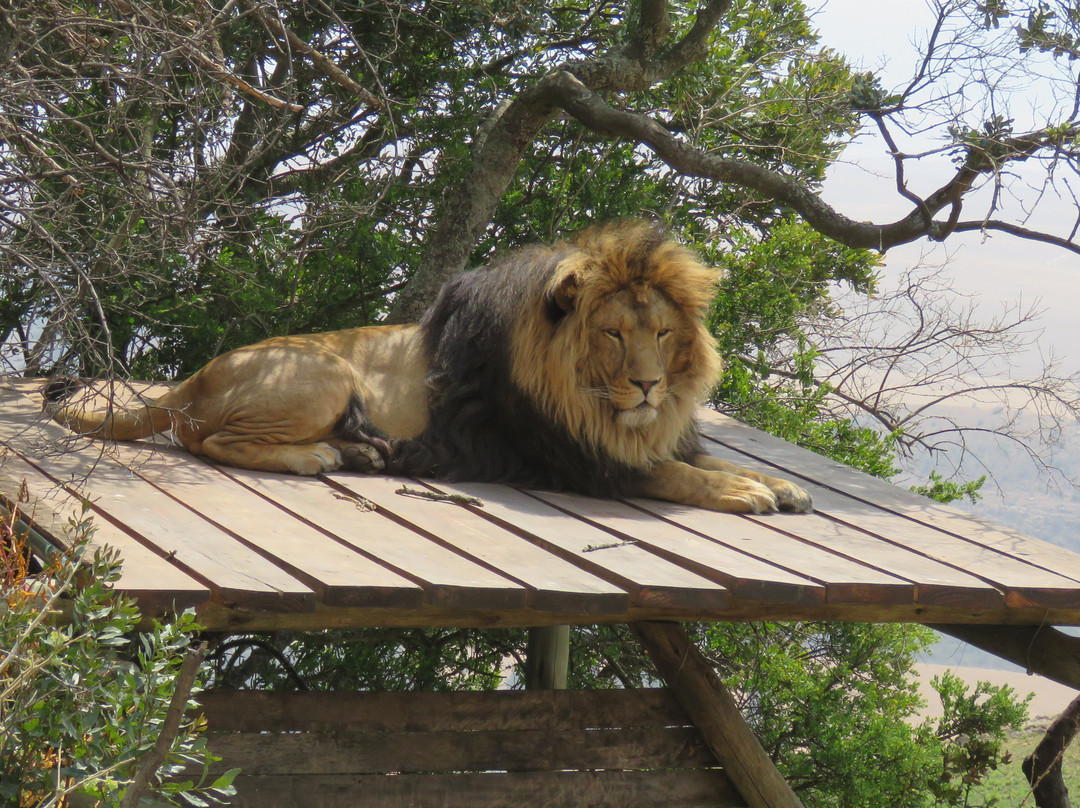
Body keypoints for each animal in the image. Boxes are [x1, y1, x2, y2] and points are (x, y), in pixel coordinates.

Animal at [45, 221, 812, 514]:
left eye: (662, 332)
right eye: (614, 335)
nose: (651, 384)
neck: (599, 402)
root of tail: (196, 375)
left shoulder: (644, 435)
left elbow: (704, 460)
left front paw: (781, 485)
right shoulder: (576, 459)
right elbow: (679, 476)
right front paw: (747, 492)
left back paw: (359, 453)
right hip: (326, 373)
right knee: (208, 440)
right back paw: (315, 457)